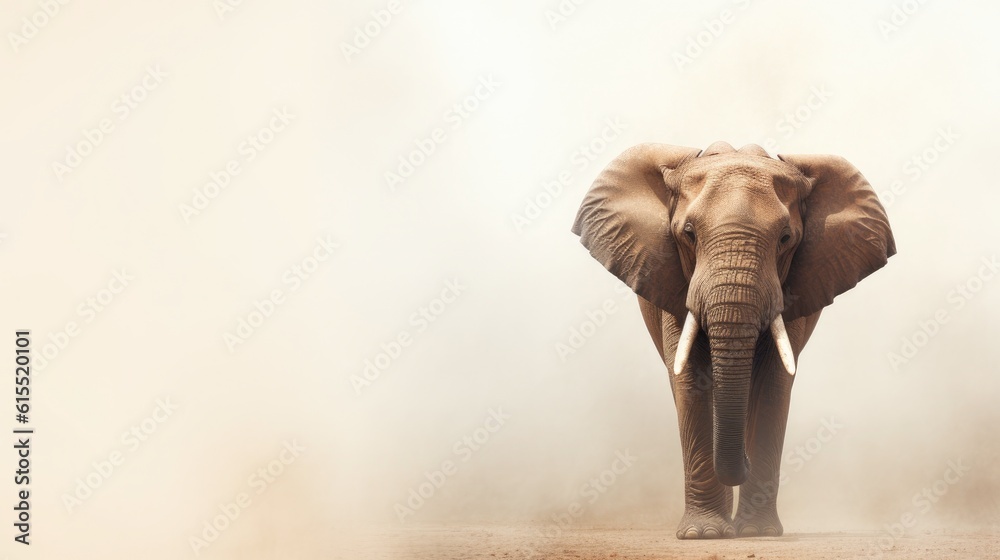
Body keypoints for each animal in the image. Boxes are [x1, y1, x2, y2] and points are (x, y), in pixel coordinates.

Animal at [571, 141, 895, 539]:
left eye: (786, 238)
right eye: (688, 234)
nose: (743, 459)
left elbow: (773, 381)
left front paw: (757, 533)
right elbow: (691, 380)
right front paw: (704, 535)